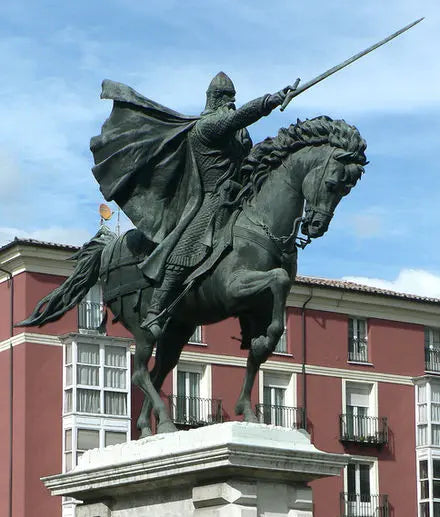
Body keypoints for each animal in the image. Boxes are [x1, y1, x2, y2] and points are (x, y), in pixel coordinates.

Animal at [17, 116, 368, 436]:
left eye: (347, 189)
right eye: (333, 183)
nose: (316, 226)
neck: (260, 221)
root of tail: (108, 250)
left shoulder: (255, 307)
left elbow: (263, 346)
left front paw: (249, 405)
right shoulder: (233, 288)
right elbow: (279, 279)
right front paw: (261, 346)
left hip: (177, 331)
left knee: (157, 373)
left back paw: (147, 428)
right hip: (143, 329)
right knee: (140, 373)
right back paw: (166, 423)